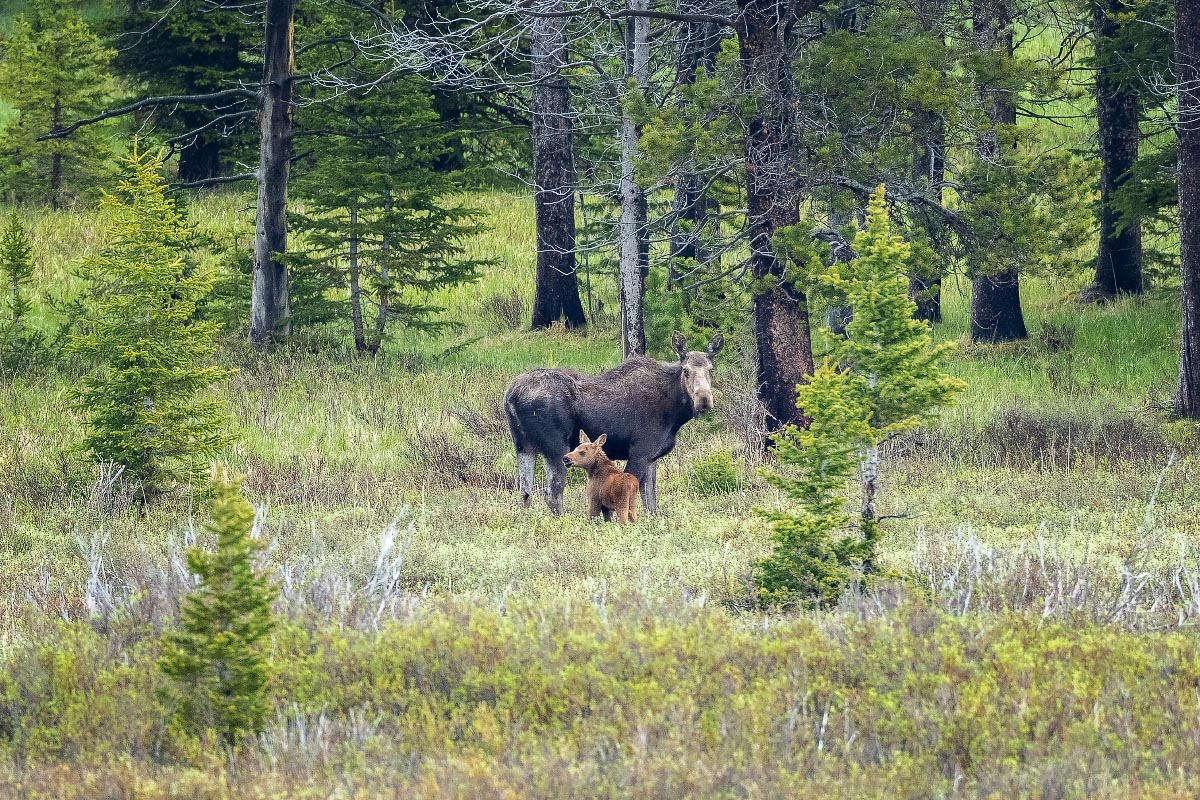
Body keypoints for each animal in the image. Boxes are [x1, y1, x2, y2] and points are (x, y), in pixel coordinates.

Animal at [504, 331, 720, 513]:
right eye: (685, 370)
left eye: (711, 370)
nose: (704, 400)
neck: (674, 413)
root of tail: (510, 396)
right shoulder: (640, 451)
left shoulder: (652, 456)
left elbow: (651, 503)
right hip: (556, 448)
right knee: (552, 493)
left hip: (523, 446)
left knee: (525, 493)